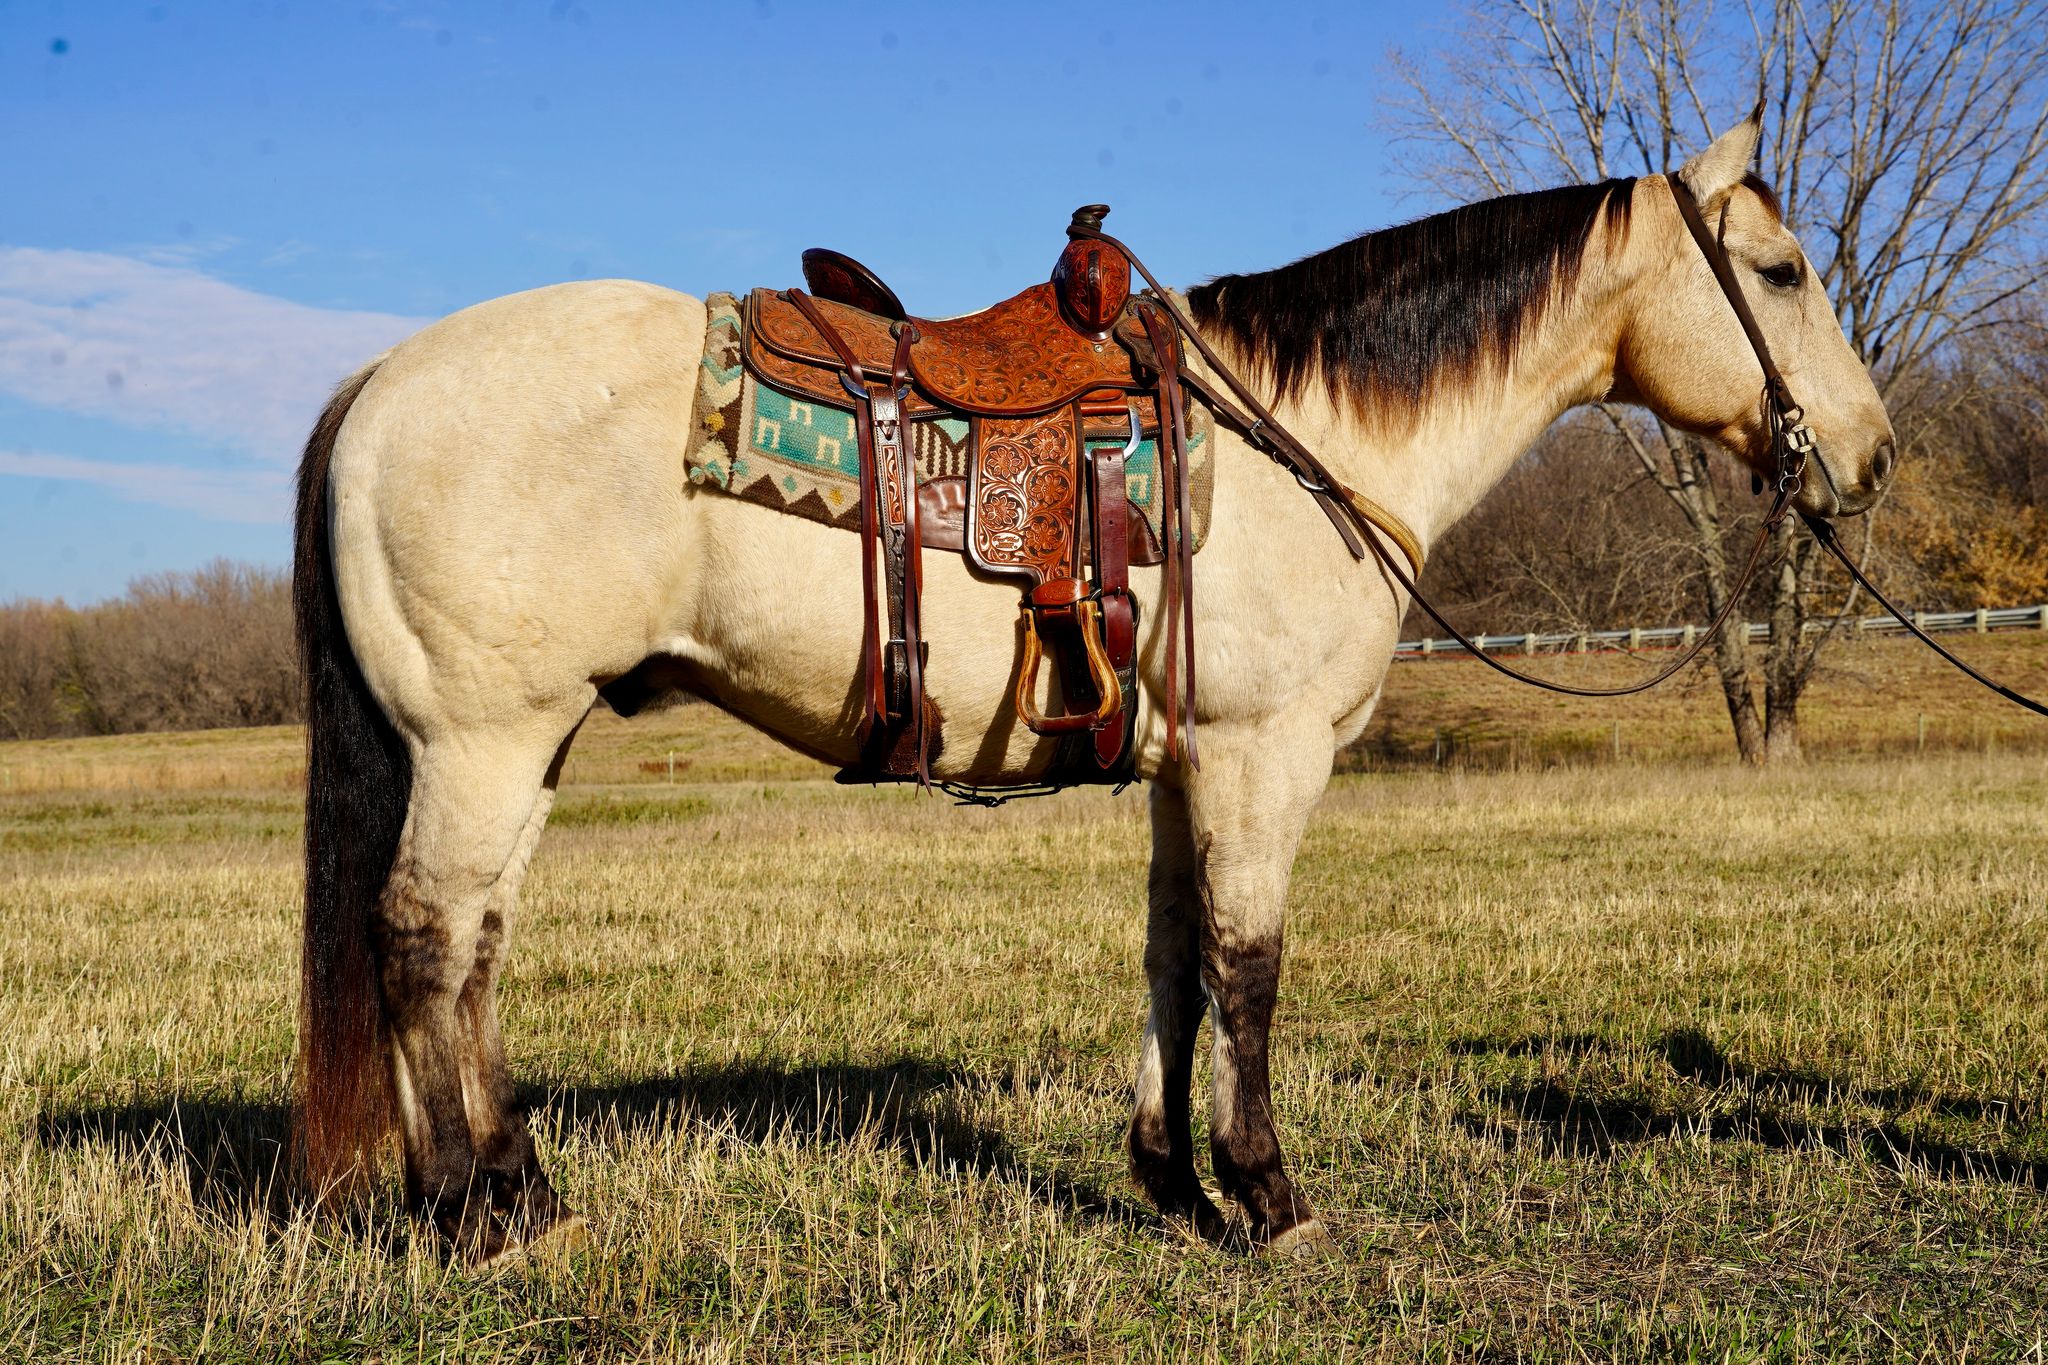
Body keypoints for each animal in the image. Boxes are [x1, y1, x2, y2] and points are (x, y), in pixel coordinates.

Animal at [292, 115, 1894, 1264]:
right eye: (1781, 273)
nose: (1870, 457)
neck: (1304, 440)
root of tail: (376, 380)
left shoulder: (1190, 767)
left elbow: (1175, 960)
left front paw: (1171, 1183)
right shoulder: (1263, 756)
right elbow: (1251, 967)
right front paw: (1269, 1196)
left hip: (528, 742)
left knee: (478, 948)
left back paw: (527, 1190)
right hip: (482, 739)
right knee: (424, 941)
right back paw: (469, 1219)